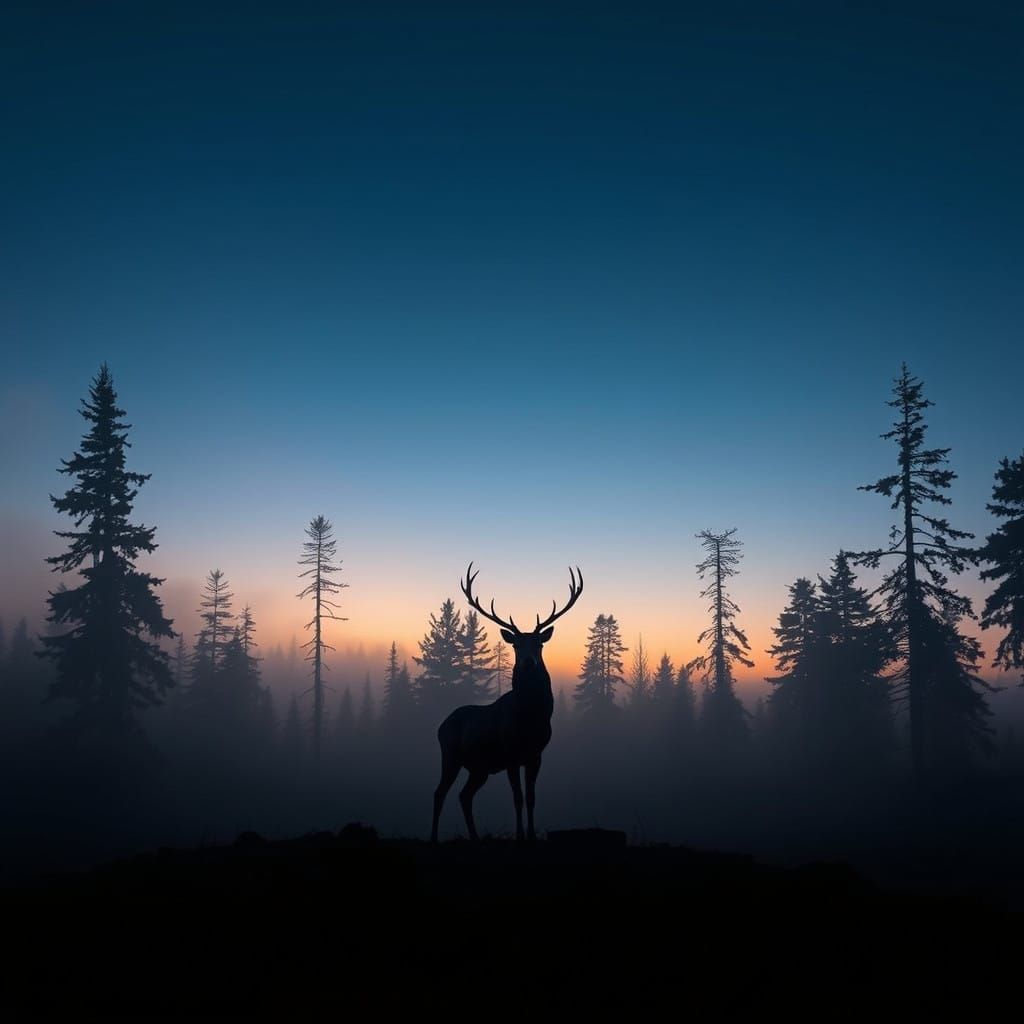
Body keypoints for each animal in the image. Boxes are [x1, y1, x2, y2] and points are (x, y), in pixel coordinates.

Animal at [430, 563, 583, 843]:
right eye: (516, 646)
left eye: (539, 645)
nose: (529, 663)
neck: (531, 717)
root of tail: (441, 725)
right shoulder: (511, 752)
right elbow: (518, 798)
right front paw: (520, 835)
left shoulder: (536, 754)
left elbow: (532, 797)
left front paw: (532, 835)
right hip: (450, 754)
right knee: (439, 792)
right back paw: (434, 837)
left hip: (479, 768)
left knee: (464, 795)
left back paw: (475, 837)